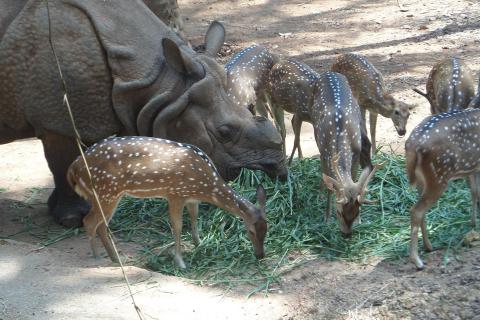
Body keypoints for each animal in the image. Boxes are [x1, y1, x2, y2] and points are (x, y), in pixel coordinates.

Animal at [67, 136, 266, 268]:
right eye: (250, 231)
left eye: (267, 229)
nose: (260, 255)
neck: (205, 185)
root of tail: (73, 168)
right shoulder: (175, 194)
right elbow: (177, 225)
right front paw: (180, 262)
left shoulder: (191, 198)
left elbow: (194, 218)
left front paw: (199, 244)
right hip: (105, 193)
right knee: (89, 221)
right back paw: (97, 257)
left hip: (108, 196)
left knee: (101, 225)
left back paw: (117, 258)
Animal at [314, 70, 376, 235]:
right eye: (339, 212)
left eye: (356, 211)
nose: (347, 235)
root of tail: (330, 72)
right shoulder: (326, 153)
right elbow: (330, 186)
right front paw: (326, 218)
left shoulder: (356, 153)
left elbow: (354, 178)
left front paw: (361, 221)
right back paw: (320, 193)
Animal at [404, 109, 480, 268]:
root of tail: (412, 145)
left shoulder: (473, 168)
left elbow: (475, 191)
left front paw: (473, 223)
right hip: (439, 176)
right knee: (416, 210)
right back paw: (417, 261)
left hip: (423, 180)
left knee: (420, 210)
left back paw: (428, 246)